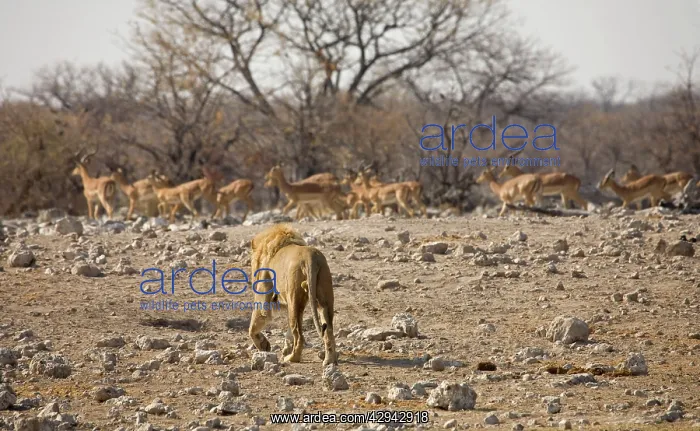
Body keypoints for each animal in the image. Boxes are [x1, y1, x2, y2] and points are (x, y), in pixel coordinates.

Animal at [248, 224, 338, 366]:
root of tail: (311, 257)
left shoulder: (263, 295)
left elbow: (254, 325)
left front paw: (263, 345)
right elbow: (289, 334)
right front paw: (282, 348)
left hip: (294, 299)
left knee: (299, 336)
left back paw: (291, 358)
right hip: (324, 299)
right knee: (327, 330)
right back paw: (329, 361)